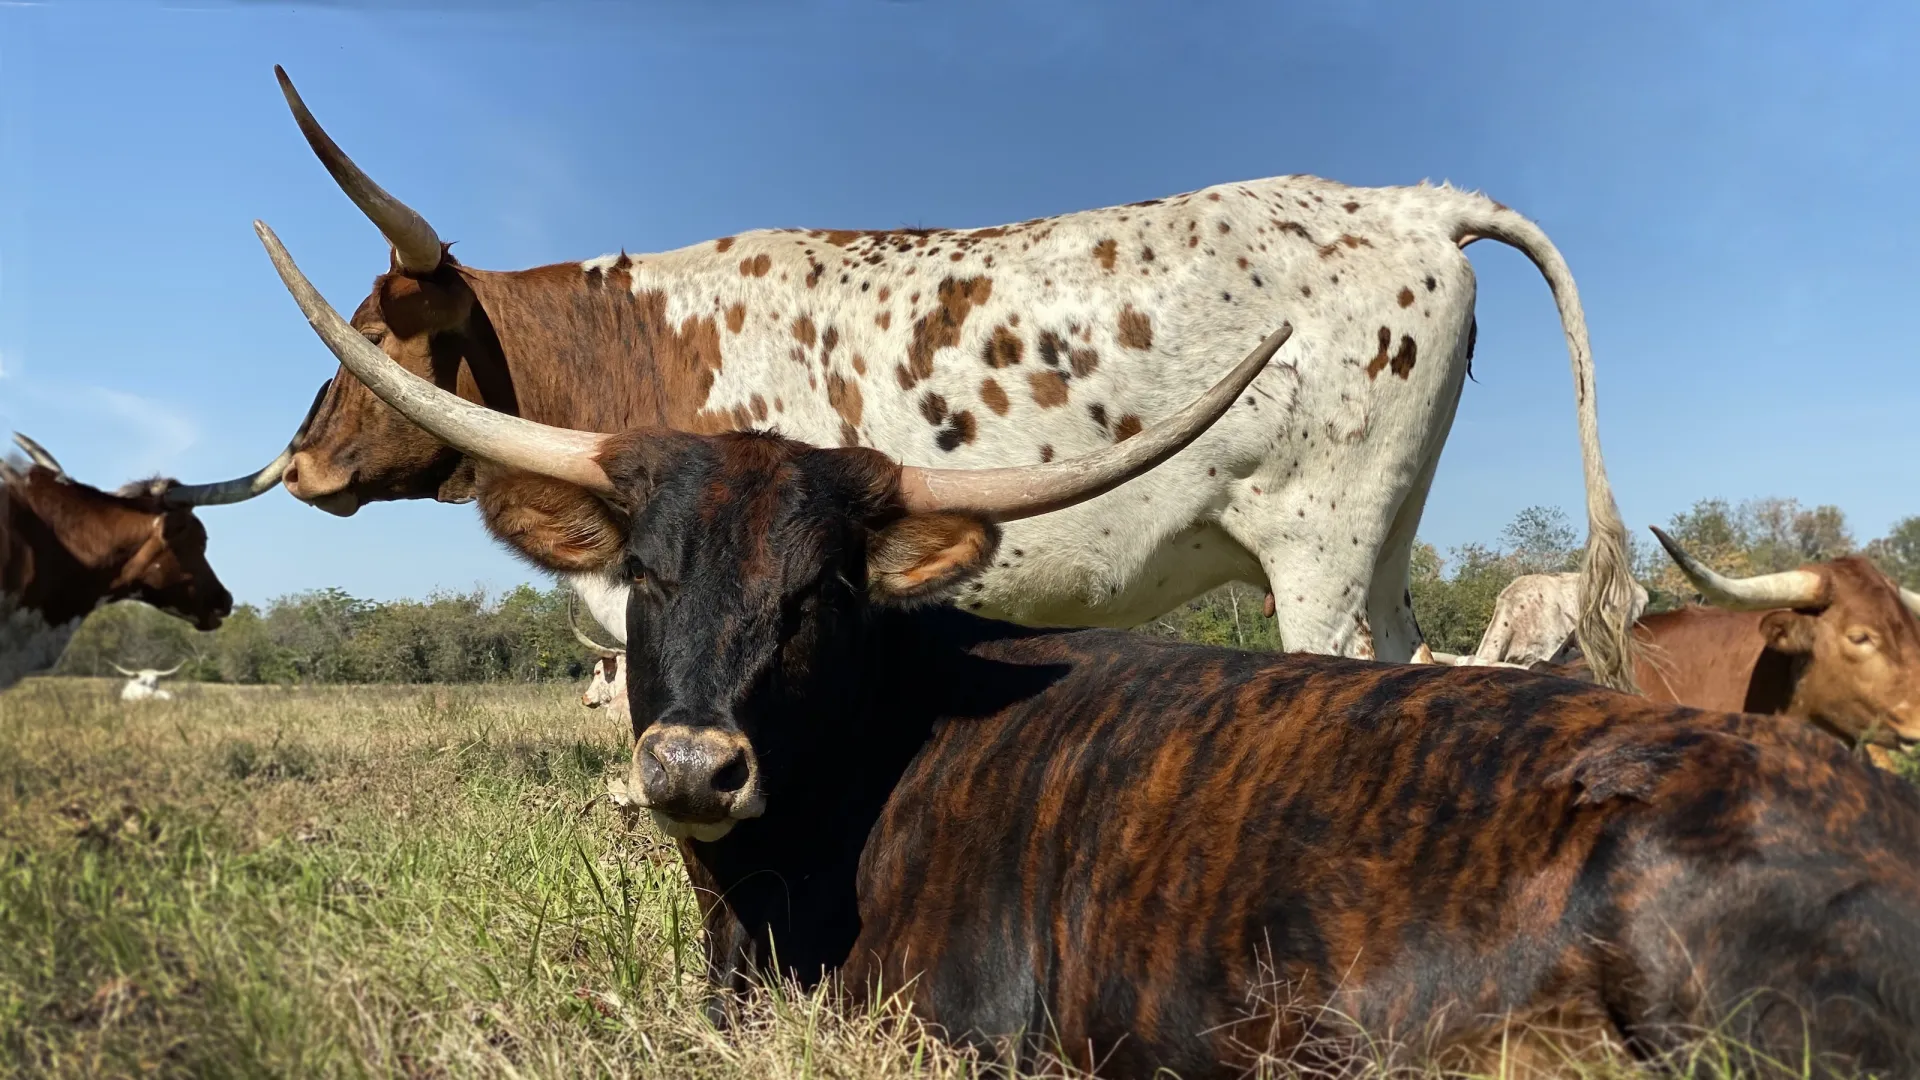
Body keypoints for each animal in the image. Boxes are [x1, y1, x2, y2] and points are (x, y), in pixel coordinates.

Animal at [259, 67, 1635, 684]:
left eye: (373, 327)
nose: (298, 462)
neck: (639, 335)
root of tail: (1410, 204)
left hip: (1319, 550)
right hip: (1385, 544)